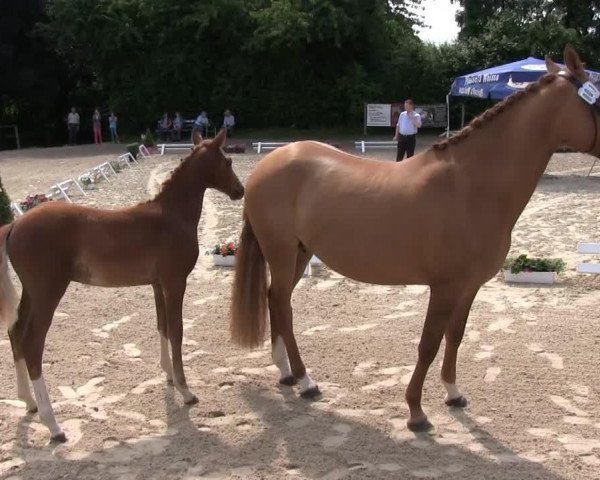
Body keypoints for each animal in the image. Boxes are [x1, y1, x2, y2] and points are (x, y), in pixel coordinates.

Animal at [0, 128, 244, 442]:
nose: (240, 190)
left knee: (16, 333)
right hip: (48, 293)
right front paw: (186, 390)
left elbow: (162, 327)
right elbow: (177, 331)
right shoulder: (175, 283)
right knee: (32, 343)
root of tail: (15, 225)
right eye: (228, 161)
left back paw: (28, 402)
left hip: (32, 294)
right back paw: (53, 425)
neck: (171, 215)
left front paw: (168, 376)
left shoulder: (157, 285)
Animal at [232, 47, 600, 432]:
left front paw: (453, 393)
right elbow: (428, 344)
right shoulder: (444, 287)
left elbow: (455, 337)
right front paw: (416, 412)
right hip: (282, 251)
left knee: (276, 300)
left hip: (300, 253)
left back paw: (286, 373)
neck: (472, 185)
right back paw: (306, 381)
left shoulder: (468, 287)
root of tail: (268, 163)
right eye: (599, 98)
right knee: (283, 306)